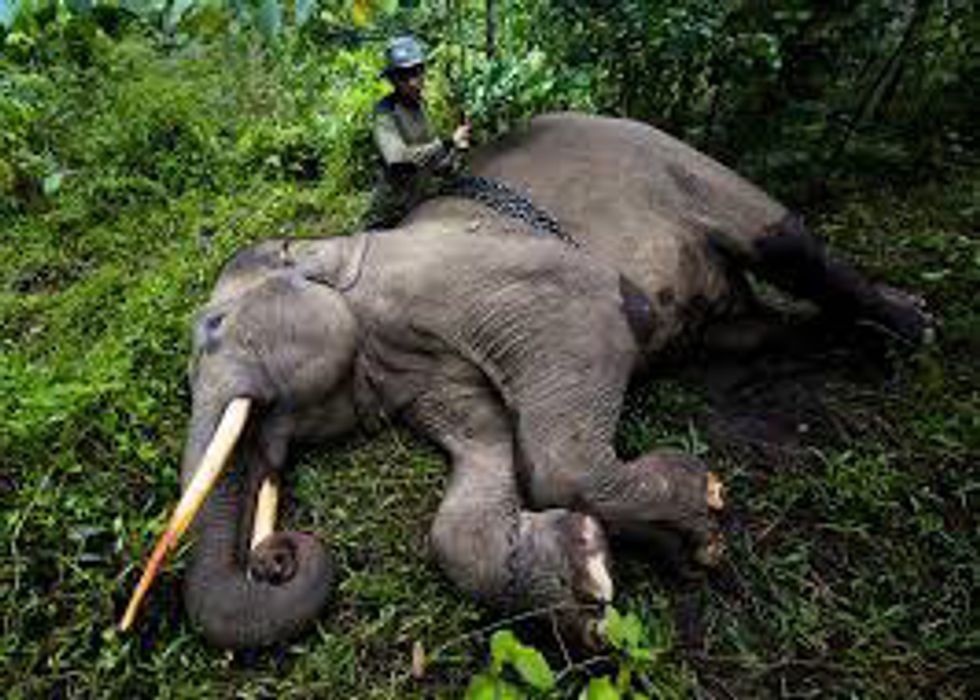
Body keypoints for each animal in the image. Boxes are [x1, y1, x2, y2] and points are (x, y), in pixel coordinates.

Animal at [120, 113, 930, 650]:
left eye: (212, 328)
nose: (274, 556)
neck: (342, 253)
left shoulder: (482, 280)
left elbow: (574, 380)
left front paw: (699, 513)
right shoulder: (422, 374)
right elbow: (482, 456)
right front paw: (585, 582)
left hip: (683, 166)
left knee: (788, 246)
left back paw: (908, 329)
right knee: (754, 328)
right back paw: (832, 344)